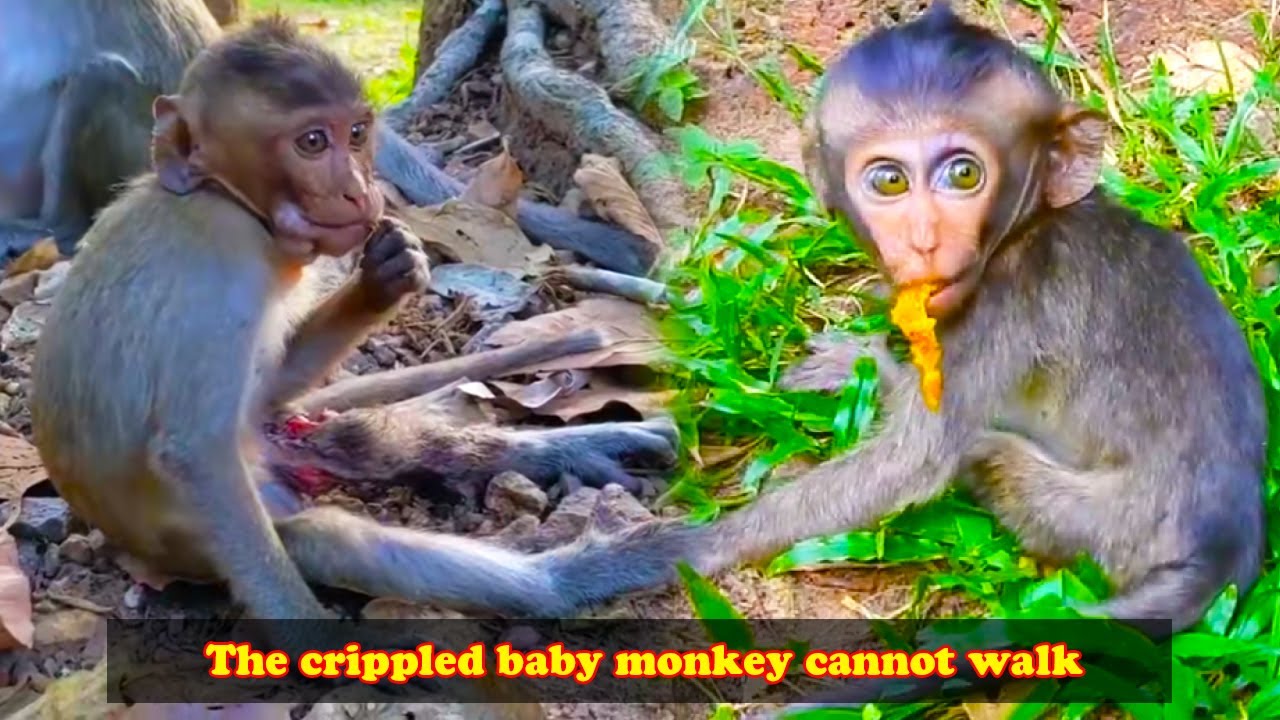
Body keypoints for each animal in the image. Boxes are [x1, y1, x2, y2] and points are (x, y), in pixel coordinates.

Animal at [28, 17, 677, 636]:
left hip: (286, 439)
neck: (230, 202)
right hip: (213, 539)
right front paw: (308, 640)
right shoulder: (220, 271)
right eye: (313, 142)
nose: (360, 189)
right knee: (335, 539)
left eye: (358, 134)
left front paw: (385, 277)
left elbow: (272, 385)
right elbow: (194, 452)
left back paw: (586, 450)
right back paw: (584, 572)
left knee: (376, 445)